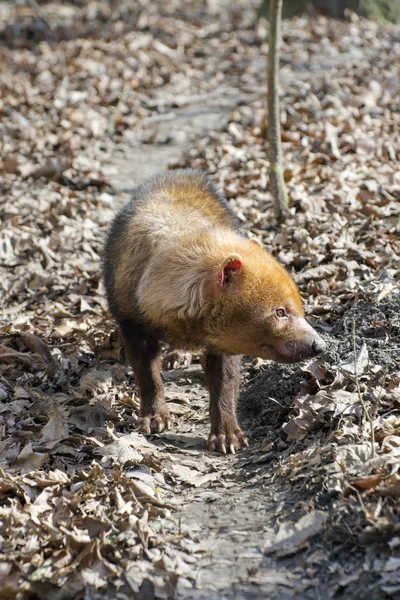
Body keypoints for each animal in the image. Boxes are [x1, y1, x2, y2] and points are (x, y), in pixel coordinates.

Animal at [103, 169, 324, 454]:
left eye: (298, 306)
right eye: (279, 312)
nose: (319, 345)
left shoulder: (223, 342)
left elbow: (225, 385)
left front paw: (228, 437)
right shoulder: (130, 320)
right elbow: (147, 374)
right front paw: (153, 419)